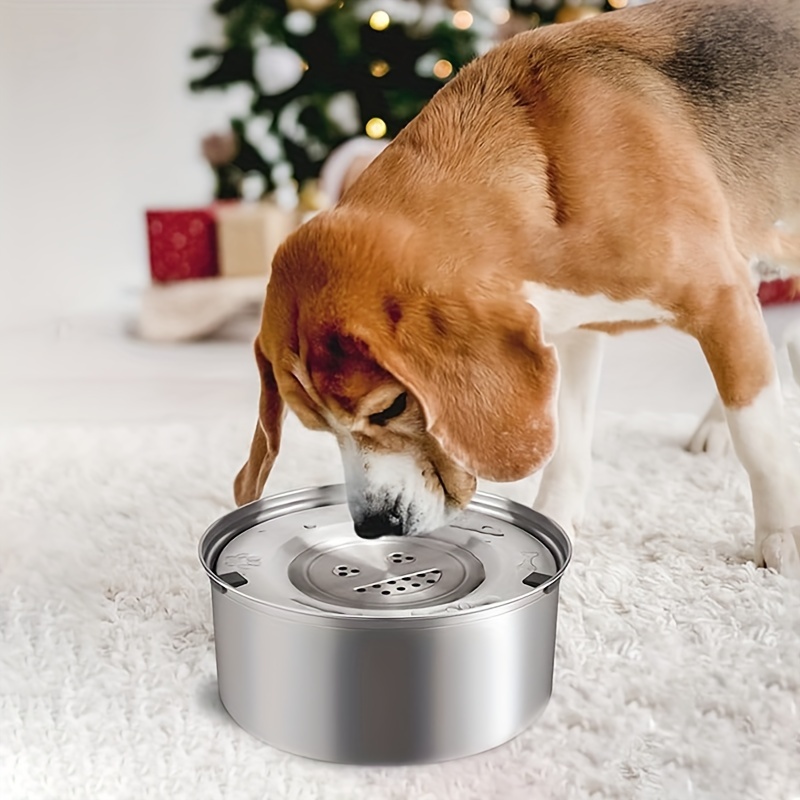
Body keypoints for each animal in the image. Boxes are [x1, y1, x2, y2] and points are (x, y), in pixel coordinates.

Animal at [234, 0, 800, 580]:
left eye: (390, 408)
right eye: (319, 428)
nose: (372, 527)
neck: (543, 162)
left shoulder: (720, 296)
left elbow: (758, 436)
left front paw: (781, 539)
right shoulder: (572, 330)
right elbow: (567, 440)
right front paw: (555, 521)